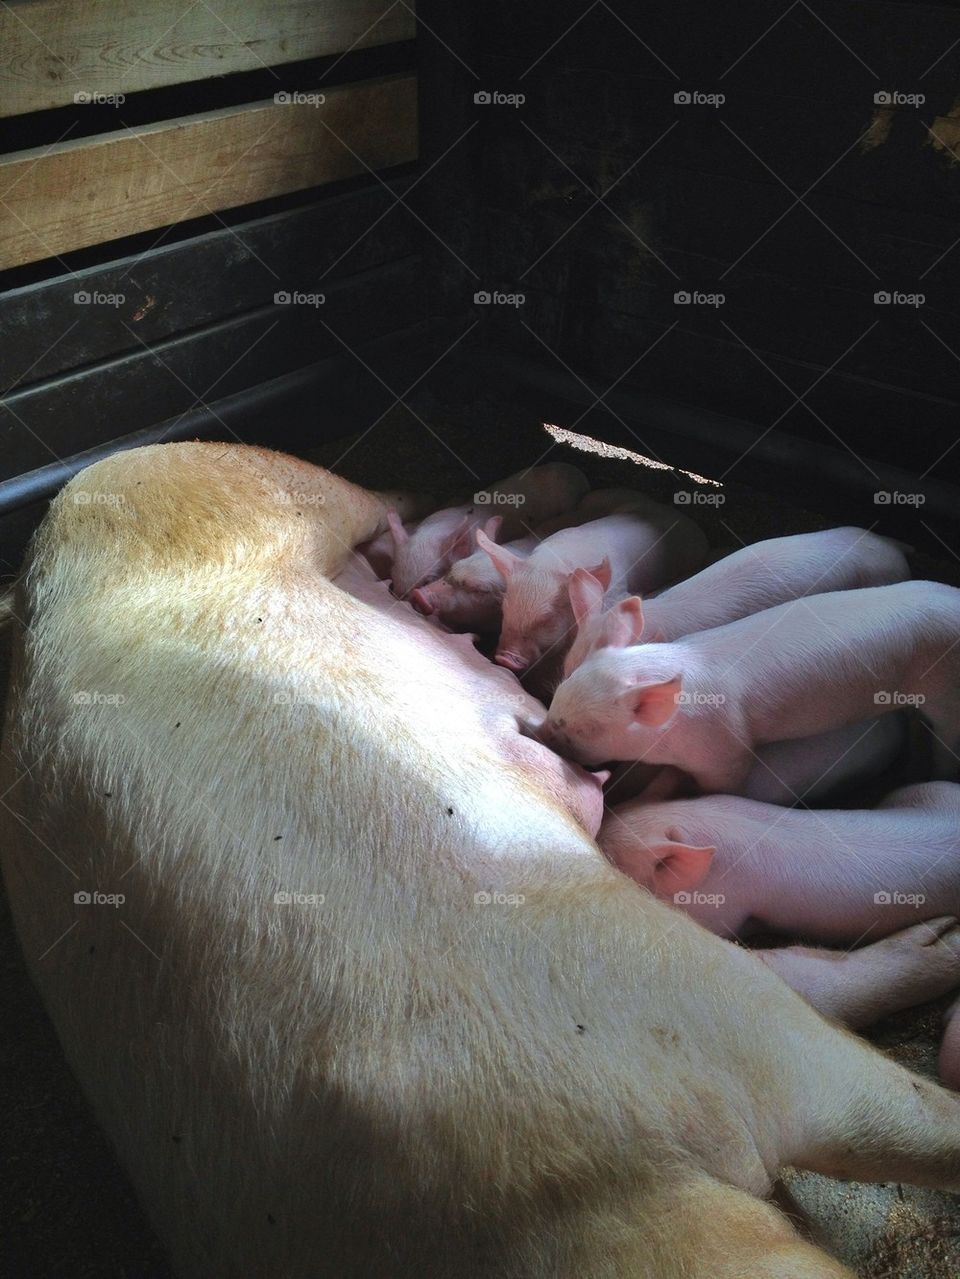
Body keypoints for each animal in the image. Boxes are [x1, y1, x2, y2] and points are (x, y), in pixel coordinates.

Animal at [543, 580, 960, 793]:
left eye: (587, 729)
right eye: (558, 694)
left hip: (945, 694)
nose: (541, 731)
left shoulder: (727, 750)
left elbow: (723, 782)